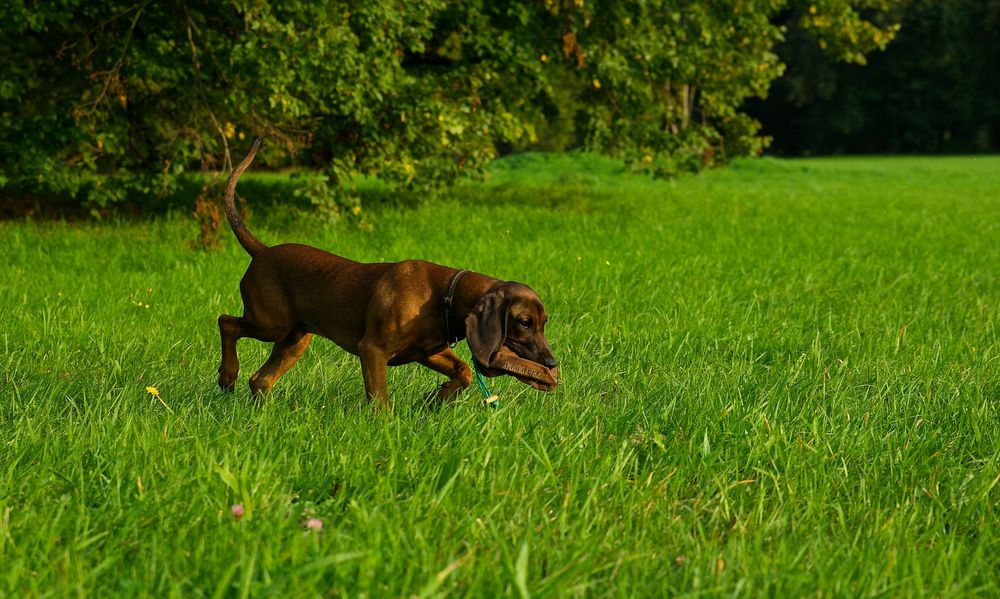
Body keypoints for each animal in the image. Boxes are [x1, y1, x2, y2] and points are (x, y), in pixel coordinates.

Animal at [216, 137, 560, 408]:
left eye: (543, 322)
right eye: (524, 322)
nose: (551, 364)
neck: (445, 296)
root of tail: (262, 251)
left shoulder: (428, 351)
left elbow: (462, 371)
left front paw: (436, 399)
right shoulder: (372, 351)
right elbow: (380, 400)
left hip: (295, 338)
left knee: (260, 380)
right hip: (270, 323)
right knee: (226, 322)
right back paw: (227, 376)